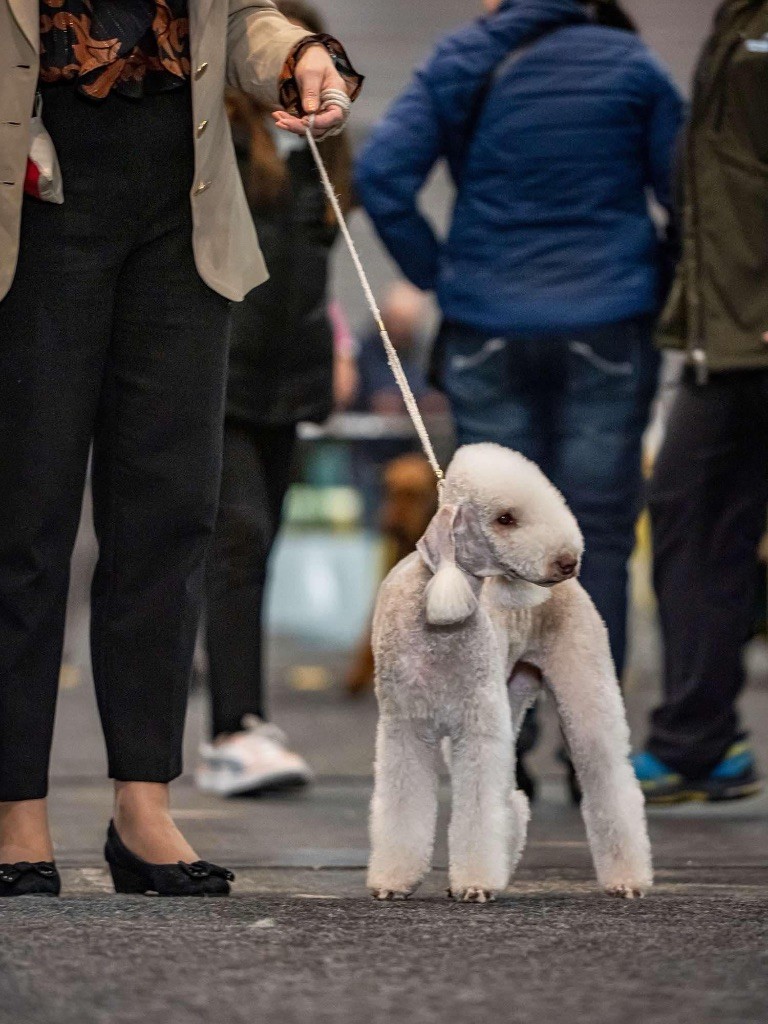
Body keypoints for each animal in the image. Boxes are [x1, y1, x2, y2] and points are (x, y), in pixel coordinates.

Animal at [370, 444, 651, 901]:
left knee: (609, 778)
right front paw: (393, 882)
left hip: (582, 692)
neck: (438, 619)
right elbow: (402, 806)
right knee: (511, 796)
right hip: (509, 695)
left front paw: (475, 884)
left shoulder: (478, 728)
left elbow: (479, 809)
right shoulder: (405, 729)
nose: (567, 562)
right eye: (505, 518)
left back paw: (628, 879)